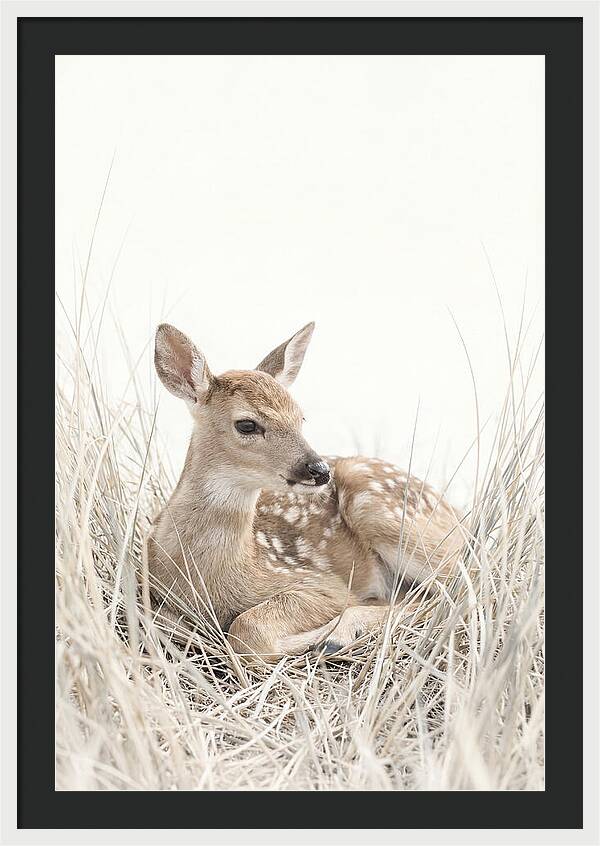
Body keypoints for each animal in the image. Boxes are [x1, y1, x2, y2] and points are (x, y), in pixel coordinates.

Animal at [144, 321, 464, 660]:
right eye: (247, 425)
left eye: (301, 418)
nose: (319, 469)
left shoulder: (320, 583)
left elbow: (248, 630)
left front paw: (314, 638)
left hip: (382, 510)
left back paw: (338, 635)